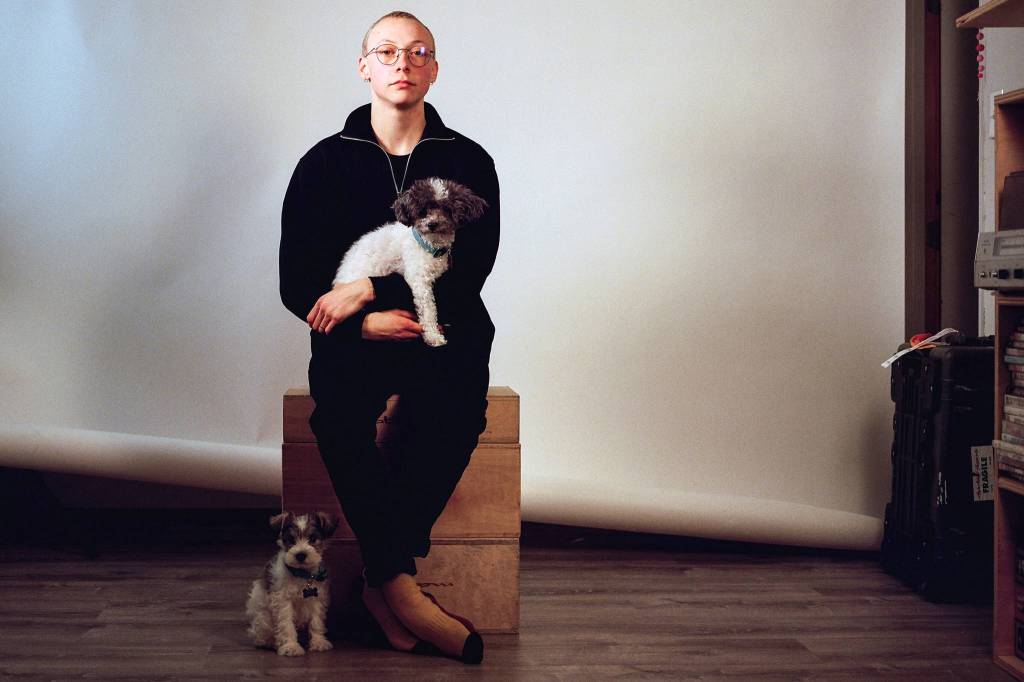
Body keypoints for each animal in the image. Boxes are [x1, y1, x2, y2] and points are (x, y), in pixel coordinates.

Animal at [245, 511, 340, 656]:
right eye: (291, 539)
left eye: (313, 539)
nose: (300, 555)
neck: (301, 575)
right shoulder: (283, 601)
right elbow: (286, 624)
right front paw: (291, 646)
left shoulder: (317, 600)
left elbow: (316, 622)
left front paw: (318, 642)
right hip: (264, 619)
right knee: (262, 636)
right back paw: (271, 643)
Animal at [333, 177, 488, 347]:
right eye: (422, 211)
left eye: (447, 209)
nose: (432, 224)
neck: (429, 246)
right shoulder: (420, 281)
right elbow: (428, 311)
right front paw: (433, 336)